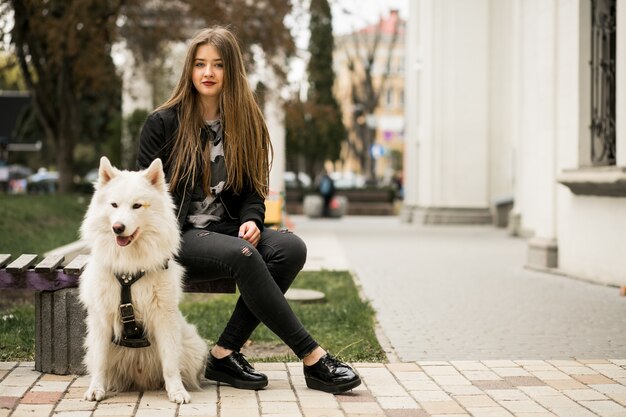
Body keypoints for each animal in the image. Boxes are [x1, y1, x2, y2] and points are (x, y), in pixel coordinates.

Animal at [78, 157, 207, 404]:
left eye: (137, 206)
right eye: (114, 205)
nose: (118, 228)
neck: (129, 269)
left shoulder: (164, 316)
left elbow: (170, 363)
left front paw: (177, 392)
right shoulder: (101, 318)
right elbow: (100, 361)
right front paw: (95, 389)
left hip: (193, 346)